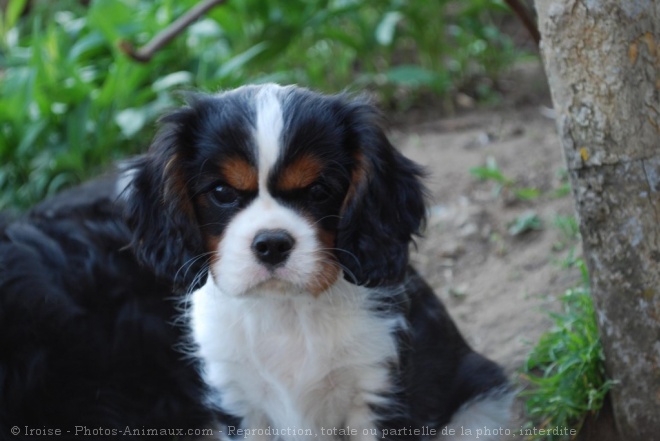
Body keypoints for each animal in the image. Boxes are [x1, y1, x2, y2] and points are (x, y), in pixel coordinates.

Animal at [126, 84, 512, 438]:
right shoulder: (239, 400)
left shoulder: (378, 390)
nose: (272, 244)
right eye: (221, 192)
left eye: (319, 190)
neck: (286, 309)